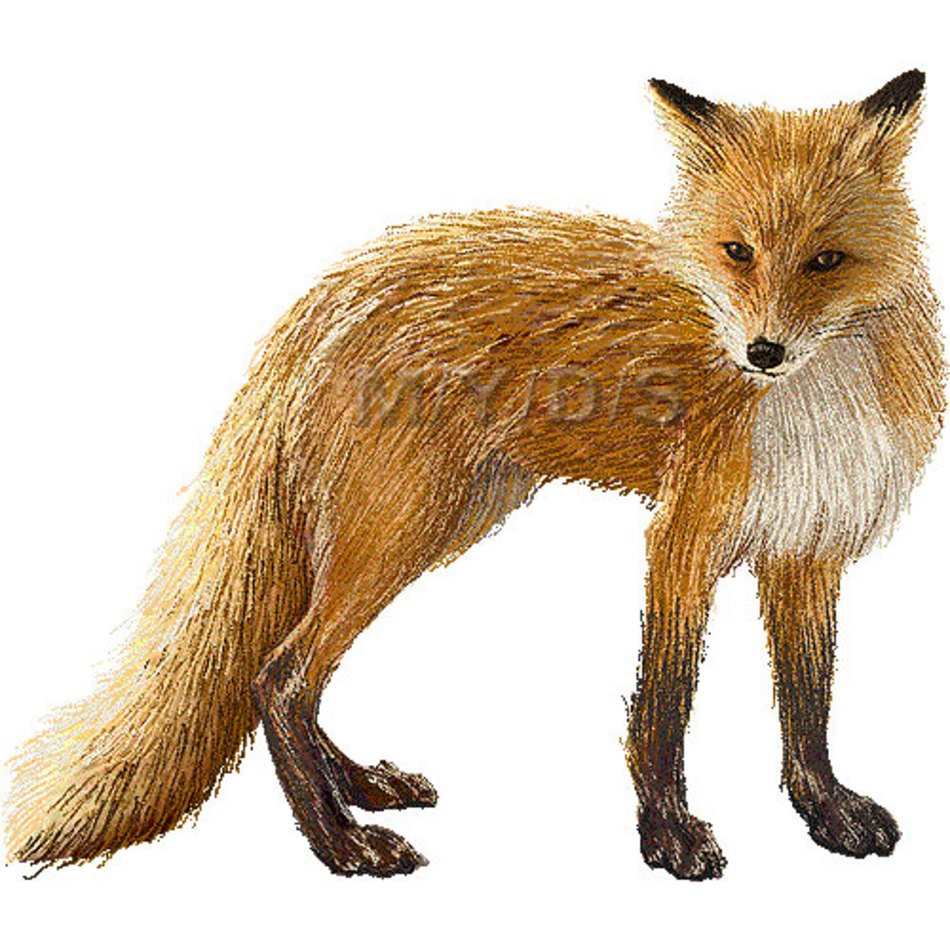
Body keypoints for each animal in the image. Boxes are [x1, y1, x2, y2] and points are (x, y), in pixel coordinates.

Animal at [5, 70, 944, 882]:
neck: (809, 398)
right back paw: (342, 843)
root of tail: (333, 288)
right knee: (278, 675)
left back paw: (358, 787)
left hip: (443, 520)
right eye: (737, 252)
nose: (762, 351)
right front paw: (668, 835)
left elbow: (809, 704)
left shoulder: (807, 548)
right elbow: (665, 705)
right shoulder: (683, 539)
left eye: (826, 260)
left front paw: (826, 811)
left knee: (289, 679)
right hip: (400, 529)